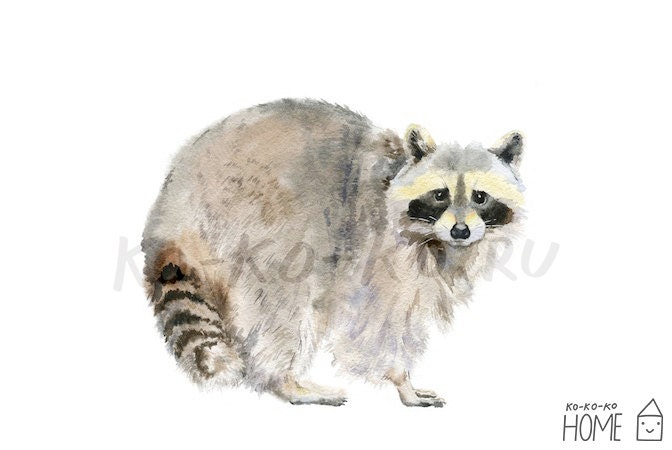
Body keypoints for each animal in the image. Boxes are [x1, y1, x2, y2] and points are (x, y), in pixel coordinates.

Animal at [142, 99, 524, 407]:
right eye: (440, 195)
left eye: (480, 197)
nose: (460, 231)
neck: (433, 237)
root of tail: (172, 203)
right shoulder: (382, 251)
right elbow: (380, 321)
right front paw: (402, 381)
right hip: (253, 223)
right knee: (281, 303)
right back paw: (285, 381)